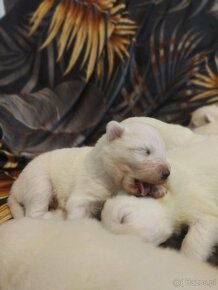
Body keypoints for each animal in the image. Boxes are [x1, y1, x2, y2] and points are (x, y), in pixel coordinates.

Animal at [8, 118, 170, 220]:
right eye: (145, 151)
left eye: (164, 152)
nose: (167, 173)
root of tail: (15, 186)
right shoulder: (87, 189)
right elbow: (77, 207)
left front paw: (158, 189)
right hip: (37, 179)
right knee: (35, 208)